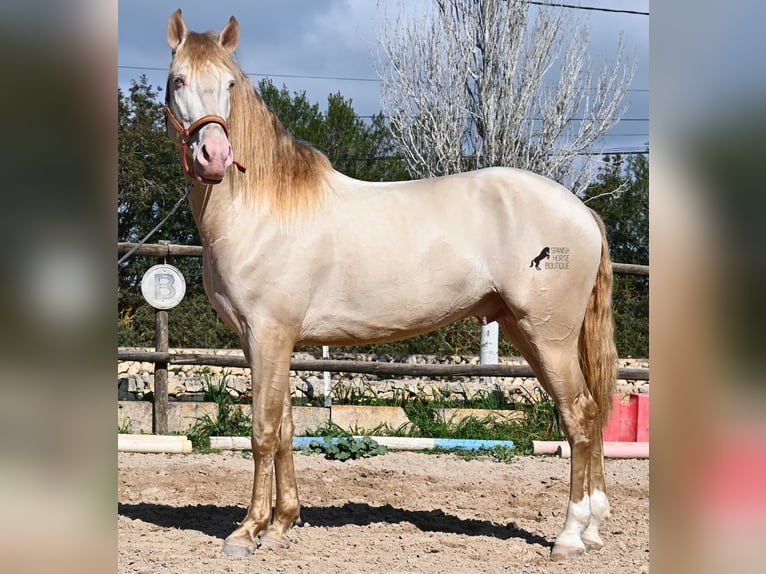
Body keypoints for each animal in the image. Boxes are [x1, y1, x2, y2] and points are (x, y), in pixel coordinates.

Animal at [165, 11, 620, 564]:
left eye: (229, 84)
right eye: (178, 80)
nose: (214, 155)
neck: (265, 207)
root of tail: (581, 211)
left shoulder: (268, 335)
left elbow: (263, 431)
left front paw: (247, 532)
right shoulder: (267, 343)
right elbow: (288, 427)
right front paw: (281, 524)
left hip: (549, 336)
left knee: (578, 415)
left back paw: (570, 536)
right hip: (526, 333)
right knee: (589, 414)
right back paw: (593, 529)